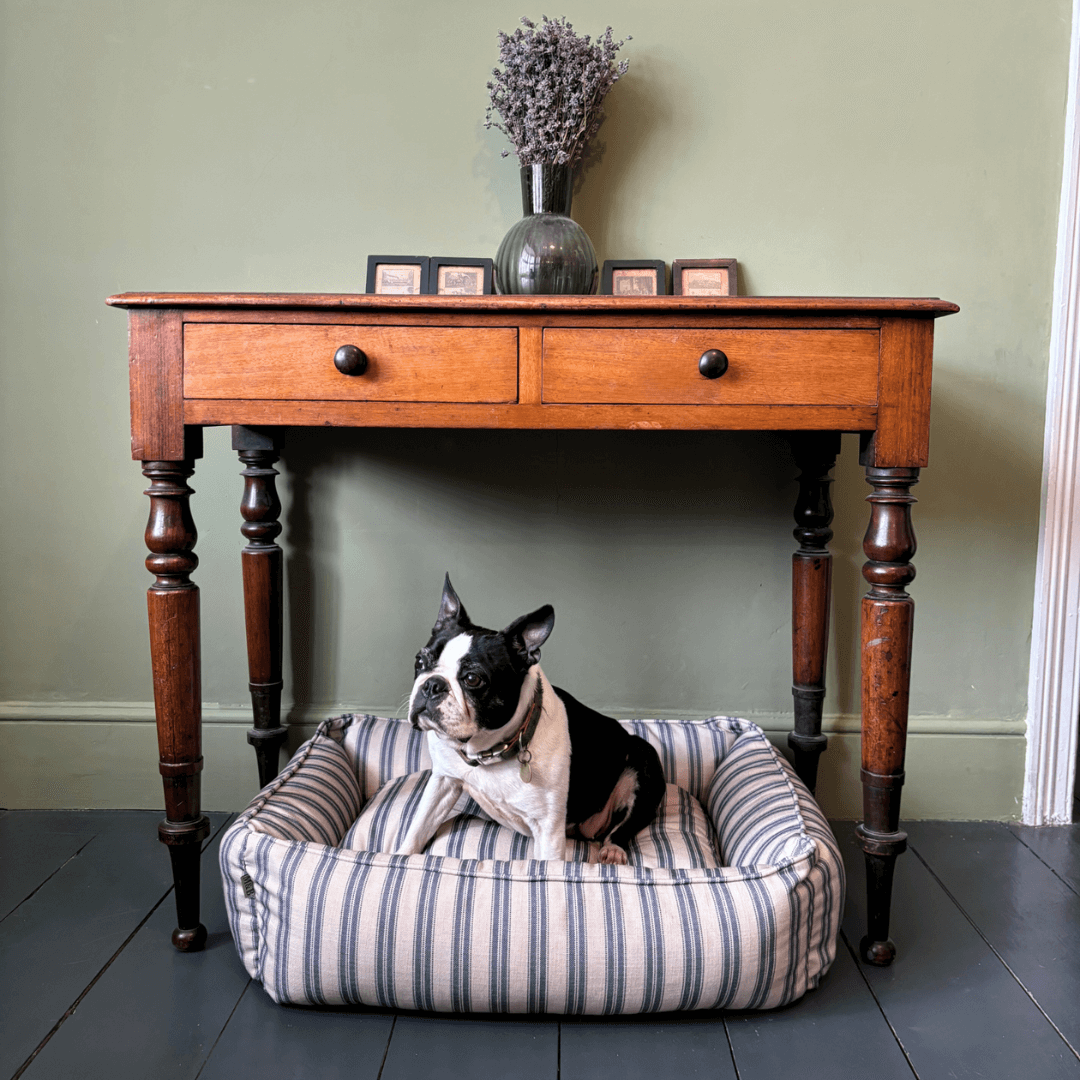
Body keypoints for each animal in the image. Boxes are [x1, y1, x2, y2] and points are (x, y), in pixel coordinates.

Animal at [397, 578, 665, 864]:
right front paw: (400, 857)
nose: (432, 685)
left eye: (472, 679)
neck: (488, 750)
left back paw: (613, 850)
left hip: (644, 756)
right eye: (420, 660)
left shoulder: (548, 830)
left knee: (624, 826)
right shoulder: (442, 782)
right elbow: (418, 826)